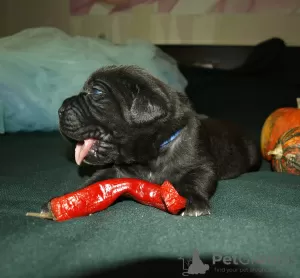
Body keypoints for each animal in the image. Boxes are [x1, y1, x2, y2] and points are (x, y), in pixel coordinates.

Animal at [58, 65, 260, 217]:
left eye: (96, 92)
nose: (59, 110)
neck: (151, 155)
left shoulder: (200, 163)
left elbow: (197, 179)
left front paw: (193, 201)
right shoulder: (117, 171)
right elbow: (97, 181)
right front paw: (73, 198)